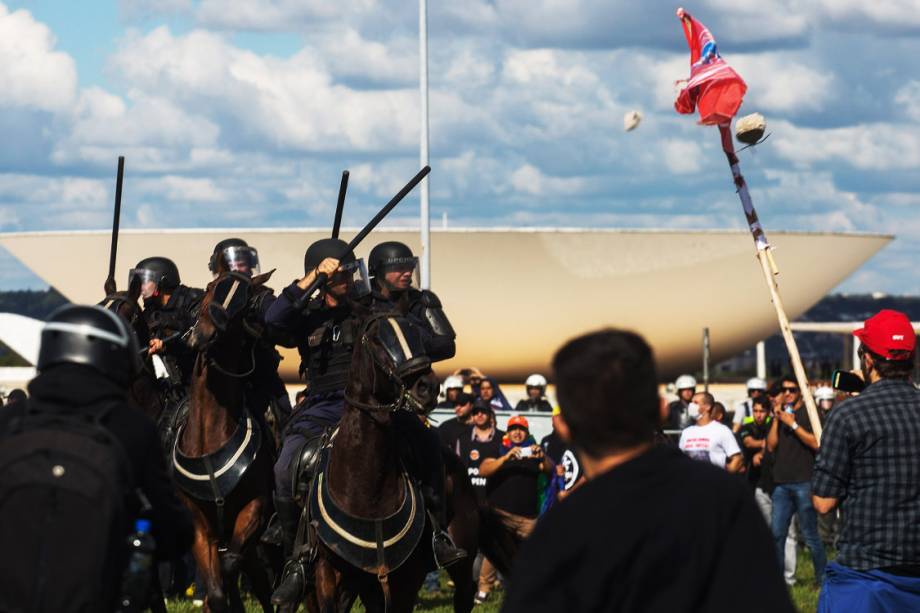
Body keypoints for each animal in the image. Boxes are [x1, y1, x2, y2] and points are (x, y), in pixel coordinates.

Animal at [175, 270, 276, 608]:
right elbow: (217, 589)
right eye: (210, 288)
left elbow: (231, 567)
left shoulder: (254, 509)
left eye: (244, 304)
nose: (203, 336)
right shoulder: (196, 521)